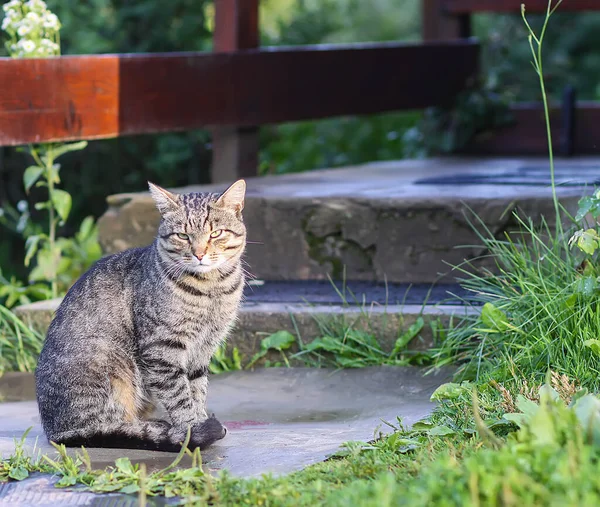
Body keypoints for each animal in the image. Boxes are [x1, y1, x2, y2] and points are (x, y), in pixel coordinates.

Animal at [35, 181, 247, 450]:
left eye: (216, 233)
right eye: (183, 236)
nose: (199, 254)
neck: (212, 288)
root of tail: (54, 431)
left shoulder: (203, 348)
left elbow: (197, 390)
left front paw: (199, 421)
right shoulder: (162, 348)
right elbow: (179, 395)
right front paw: (191, 429)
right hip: (112, 365)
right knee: (109, 425)